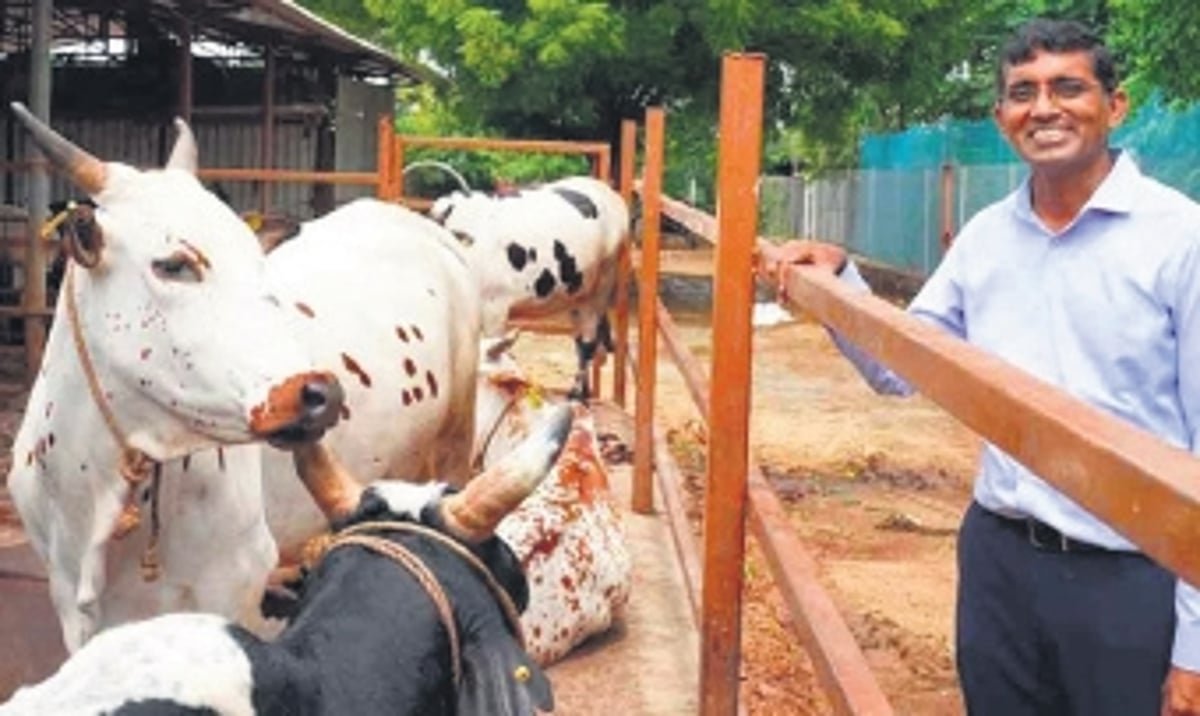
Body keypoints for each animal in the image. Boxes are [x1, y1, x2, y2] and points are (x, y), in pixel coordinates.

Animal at [429, 172, 628, 395]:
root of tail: (609, 193)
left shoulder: (493, 310)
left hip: (600, 288)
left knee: (588, 342)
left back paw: (577, 393)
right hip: (577, 294)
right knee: (579, 340)